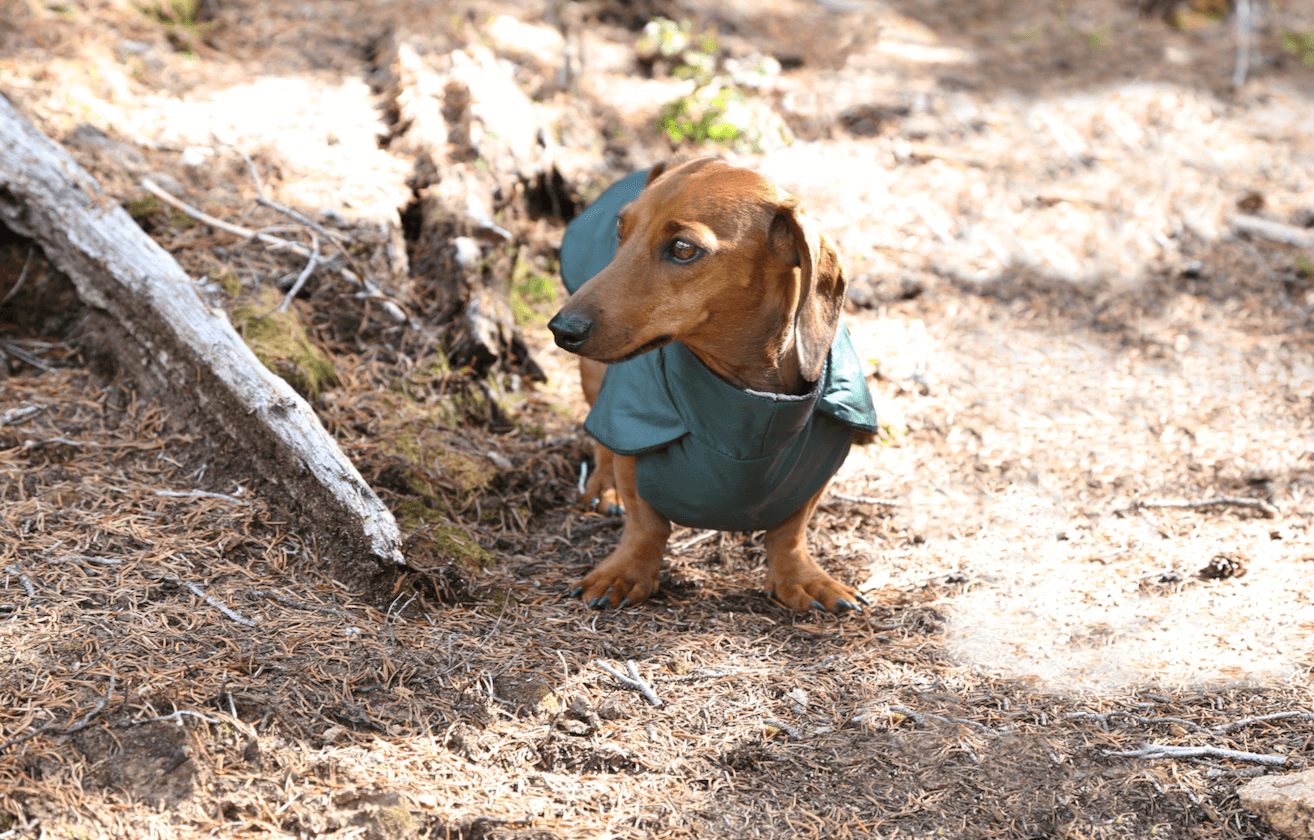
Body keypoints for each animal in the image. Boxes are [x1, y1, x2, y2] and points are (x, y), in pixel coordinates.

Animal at [549, 161, 877, 615]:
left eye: (684, 249)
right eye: (620, 229)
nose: (562, 328)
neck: (744, 408)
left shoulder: (822, 459)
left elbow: (790, 532)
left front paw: (801, 578)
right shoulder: (634, 432)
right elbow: (644, 522)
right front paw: (626, 571)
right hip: (597, 378)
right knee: (600, 439)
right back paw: (604, 486)